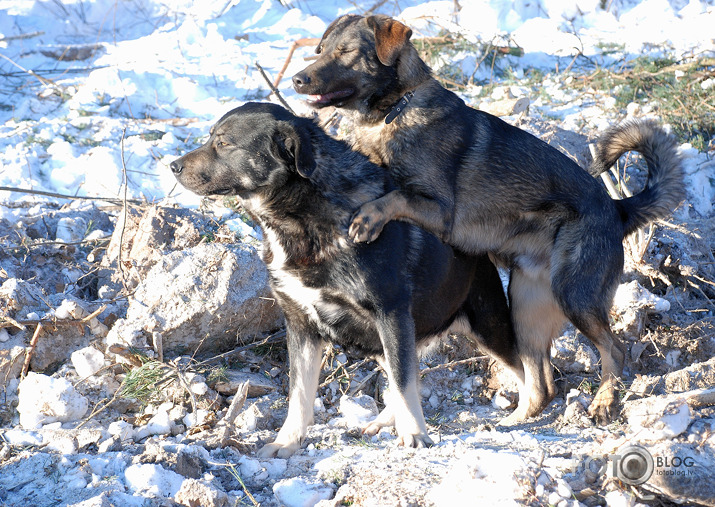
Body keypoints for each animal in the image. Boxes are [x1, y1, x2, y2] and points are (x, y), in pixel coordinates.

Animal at [172, 102, 520, 456]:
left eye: (224, 143)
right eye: (211, 138)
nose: (173, 166)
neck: (304, 219)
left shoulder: (391, 313)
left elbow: (404, 381)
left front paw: (414, 433)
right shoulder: (301, 325)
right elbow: (299, 393)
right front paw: (287, 441)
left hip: (488, 328)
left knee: (526, 373)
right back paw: (382, 421)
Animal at [294, 13, 684, 424]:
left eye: (346, 52)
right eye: (321, 50)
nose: (297, 79)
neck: (394, 110)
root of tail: (617, 208)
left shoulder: (440, 210)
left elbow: (395, 195)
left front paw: (369, 217)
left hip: (574, 295)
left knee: (613, 350)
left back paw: (604, 401)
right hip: (524, 308)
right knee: (542, 382)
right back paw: (515, 421)